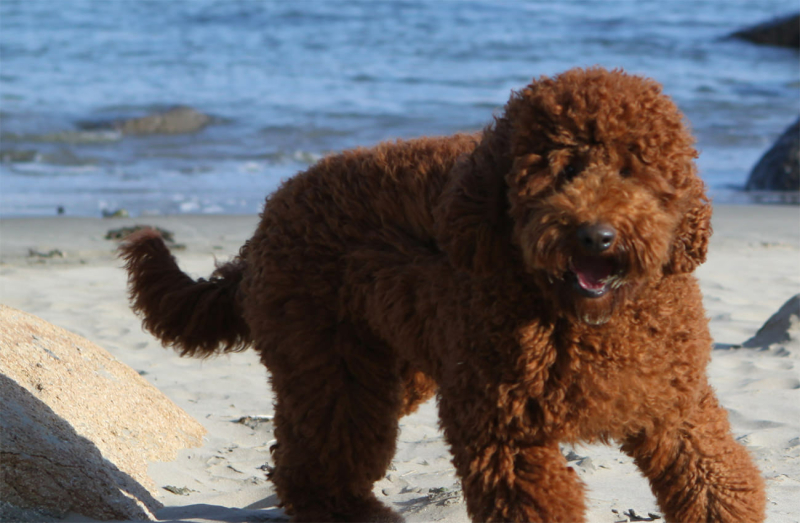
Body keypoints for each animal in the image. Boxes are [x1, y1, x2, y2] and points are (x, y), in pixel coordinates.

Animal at [122, 68, 764, 523]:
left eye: (634, 169)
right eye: (555, 170)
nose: (595, 236)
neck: (589, 319)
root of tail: (262, 225)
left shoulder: (677, 410)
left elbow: (719, 483)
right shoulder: (505, 432)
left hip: (397, 368)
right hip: (331, 366)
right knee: (315, 462)